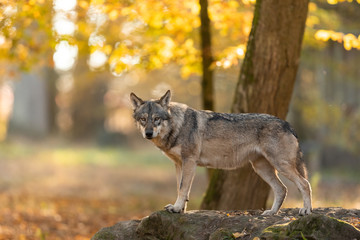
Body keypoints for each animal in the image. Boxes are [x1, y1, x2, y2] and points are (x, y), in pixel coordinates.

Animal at [129, 90, 312, 216]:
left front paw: (177, 208)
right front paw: (179, 209)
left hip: (280, 166)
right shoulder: (179, 164)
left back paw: (306, 211)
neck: (177, 126)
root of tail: (287, 124)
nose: (148, 133)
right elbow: (181, 189)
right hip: (261, 168)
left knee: (304, 184)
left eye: (156, 119)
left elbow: (182, 188)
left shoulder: (189, 162)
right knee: (282, 189)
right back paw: (271, 213)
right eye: (143, 119)